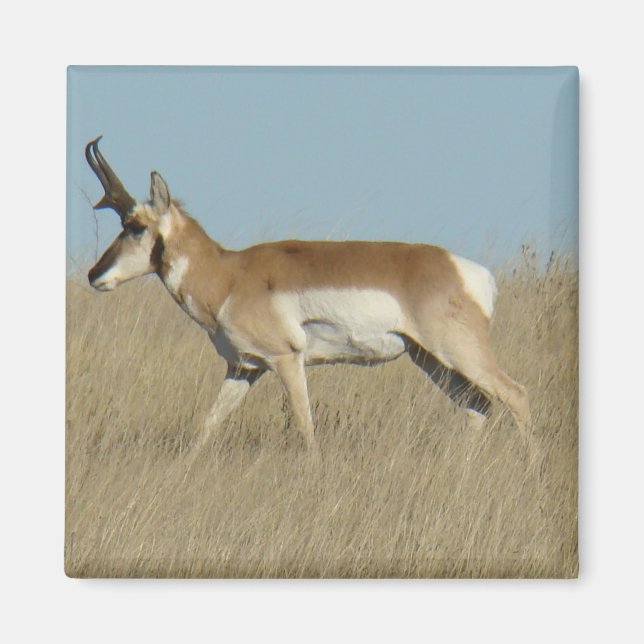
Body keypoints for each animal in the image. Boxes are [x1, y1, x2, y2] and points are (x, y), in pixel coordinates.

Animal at [85, 136, 531, 454]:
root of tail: (469, 271)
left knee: (515, 395)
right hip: (430, 360)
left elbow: (304, 425)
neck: (229, 273)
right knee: (478, 406)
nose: (93, 274)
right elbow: (208, 423)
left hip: (458, 353)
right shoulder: (244, 368)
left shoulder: (286, 360)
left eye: (135, 226)